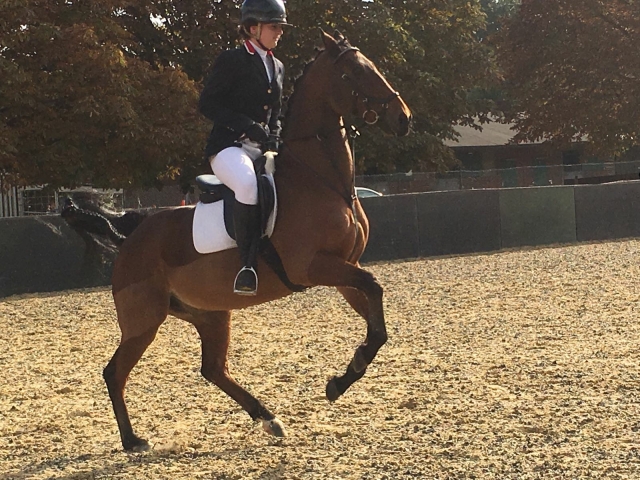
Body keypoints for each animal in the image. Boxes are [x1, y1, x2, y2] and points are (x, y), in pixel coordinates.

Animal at [63, 30, 412, 451]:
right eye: (353, 74)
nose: (404, 118)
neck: (321, 180)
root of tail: (131, 233)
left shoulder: (345, 268)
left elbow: (376, 319)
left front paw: (341, 380)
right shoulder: (314, 267)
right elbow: (375, 295)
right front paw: (344, 377)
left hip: (210, 313)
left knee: (213, 368)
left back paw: (268, 418)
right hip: (144, 319)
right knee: (115, 372)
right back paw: (133, 441)